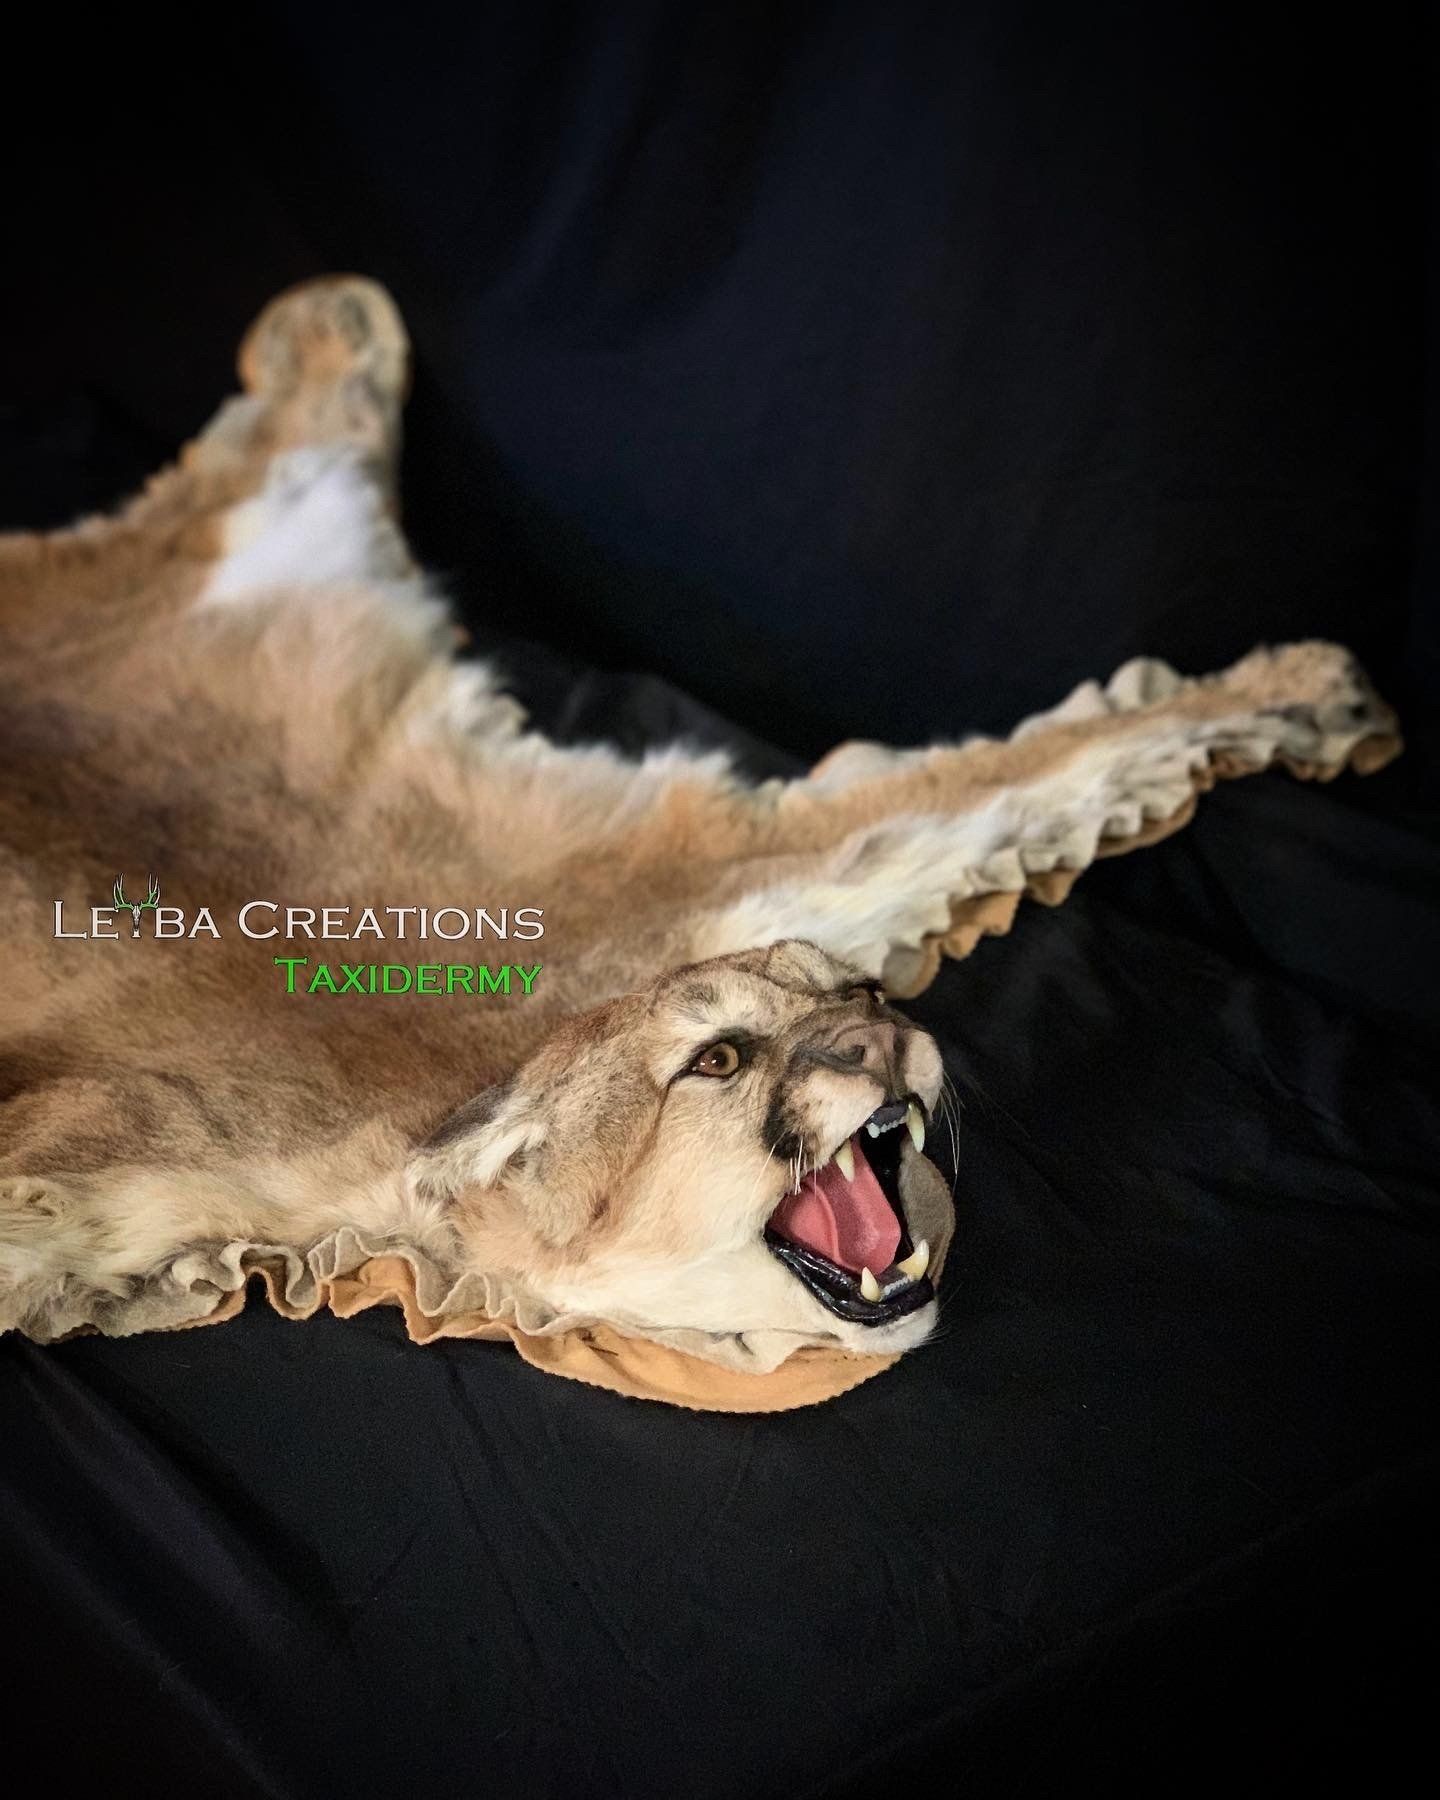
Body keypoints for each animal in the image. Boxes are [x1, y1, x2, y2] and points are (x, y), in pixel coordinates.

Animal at [0, 278, 1400, 1405]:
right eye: (717, 1061)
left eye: (854, 993)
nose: (882, 1038)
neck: (460, 1097)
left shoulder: (715, 883)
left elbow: (1036, 767)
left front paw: (1301, 690)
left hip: (294, 543)